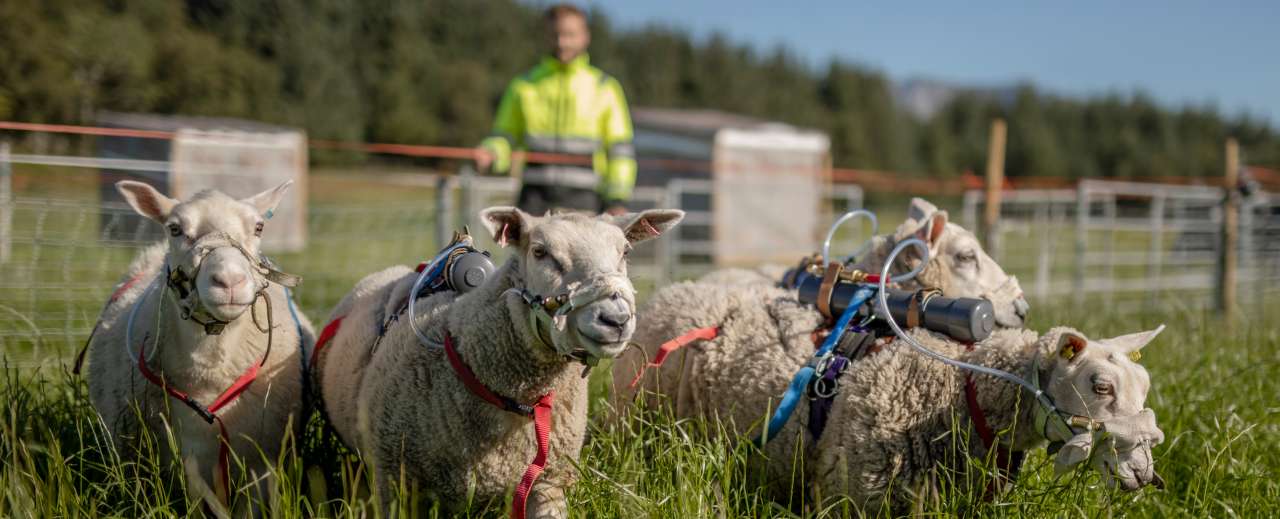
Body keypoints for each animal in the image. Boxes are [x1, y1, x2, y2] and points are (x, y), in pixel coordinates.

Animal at [85, 179, 314, 512]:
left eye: (258, 227)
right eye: (175, 228)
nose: (229, 280)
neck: (209, 368)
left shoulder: (262, 463)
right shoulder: (143, 461)